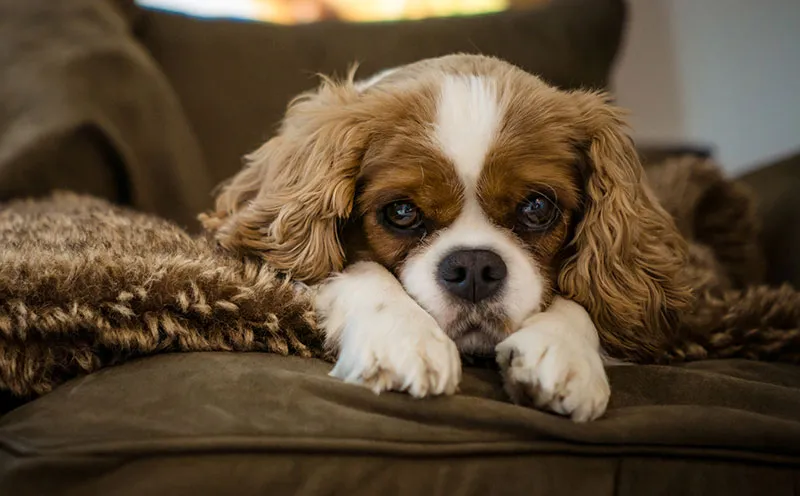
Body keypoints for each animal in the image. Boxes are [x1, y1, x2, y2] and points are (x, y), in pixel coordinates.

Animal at [198, 54, 688, 422]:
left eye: (536, 207)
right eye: (401, 212)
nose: (473, 267)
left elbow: (580, 295)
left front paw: (563, 350)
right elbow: (360, 269)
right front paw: (404, 337)